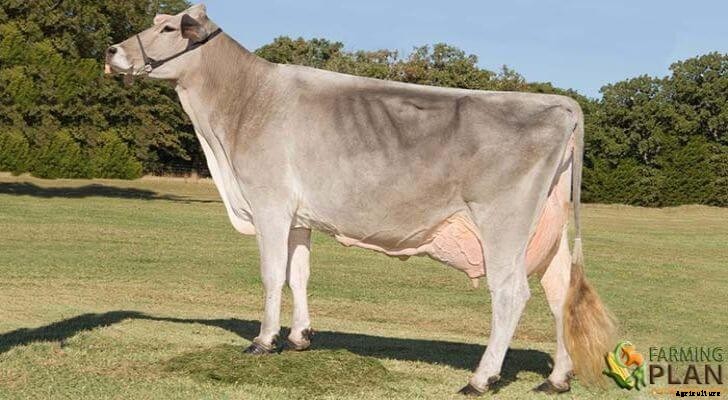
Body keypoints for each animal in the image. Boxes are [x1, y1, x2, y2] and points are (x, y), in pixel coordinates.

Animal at [106, 4, 616, 395]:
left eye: (168, 28)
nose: (112, 52)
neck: (244, 102)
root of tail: (560, 104)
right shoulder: (299, 216)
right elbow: (298, 274)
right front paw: (300, 337)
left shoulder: (269, 203)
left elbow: (271, 275)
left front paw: (263, 341)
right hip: (549, 229)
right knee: (560, 294)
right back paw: (556, 378)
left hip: (503, 223)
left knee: (511, 294)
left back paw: (481, 379)